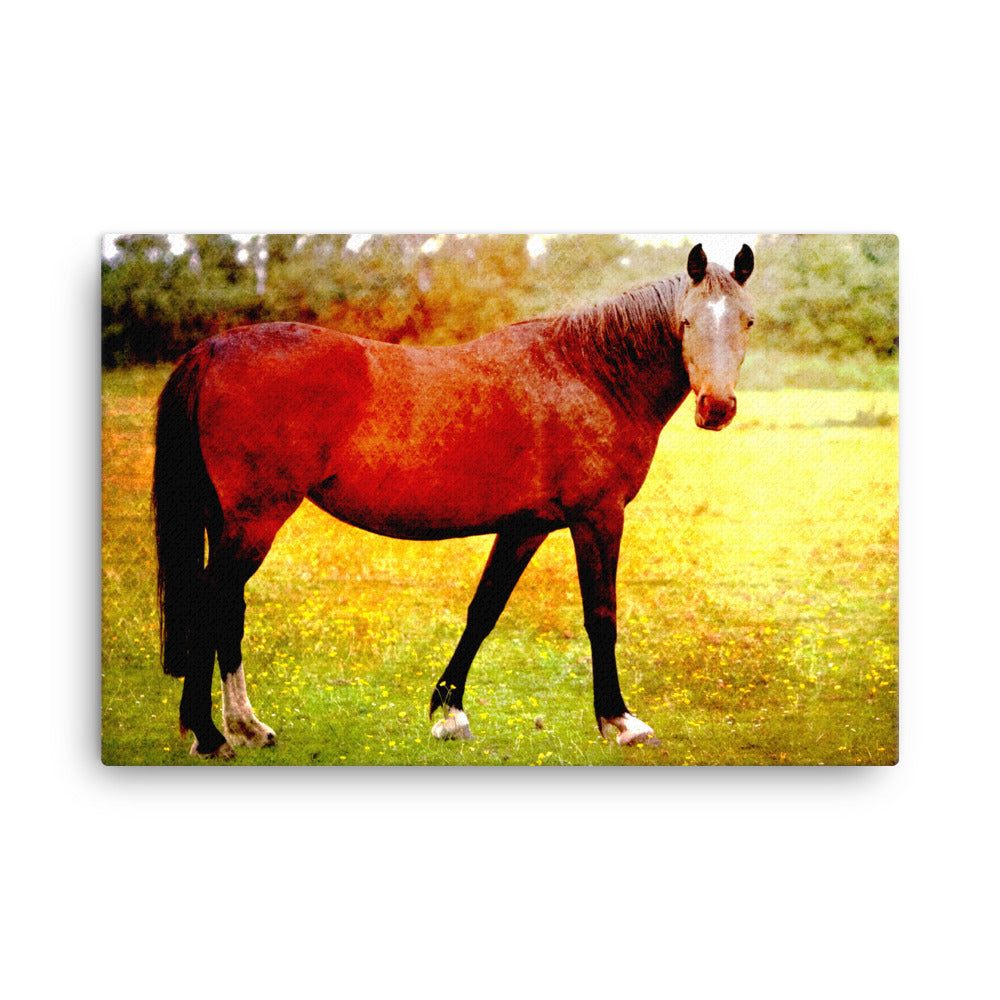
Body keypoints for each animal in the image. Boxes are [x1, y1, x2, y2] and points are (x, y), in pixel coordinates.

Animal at [152, 242, 755, 758]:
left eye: (747, 320)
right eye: (686, 321)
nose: (716, 408)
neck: (590, 374)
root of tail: (214, 348)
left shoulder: (526, 526)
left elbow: (483, 610)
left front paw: (449, 712)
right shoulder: (598, 517)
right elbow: (600, 615)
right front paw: (620, 721)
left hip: (231, 523)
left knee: (227, 608)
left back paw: (246, 727)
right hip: (256, 520)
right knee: (210, 602)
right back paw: (211, 735)